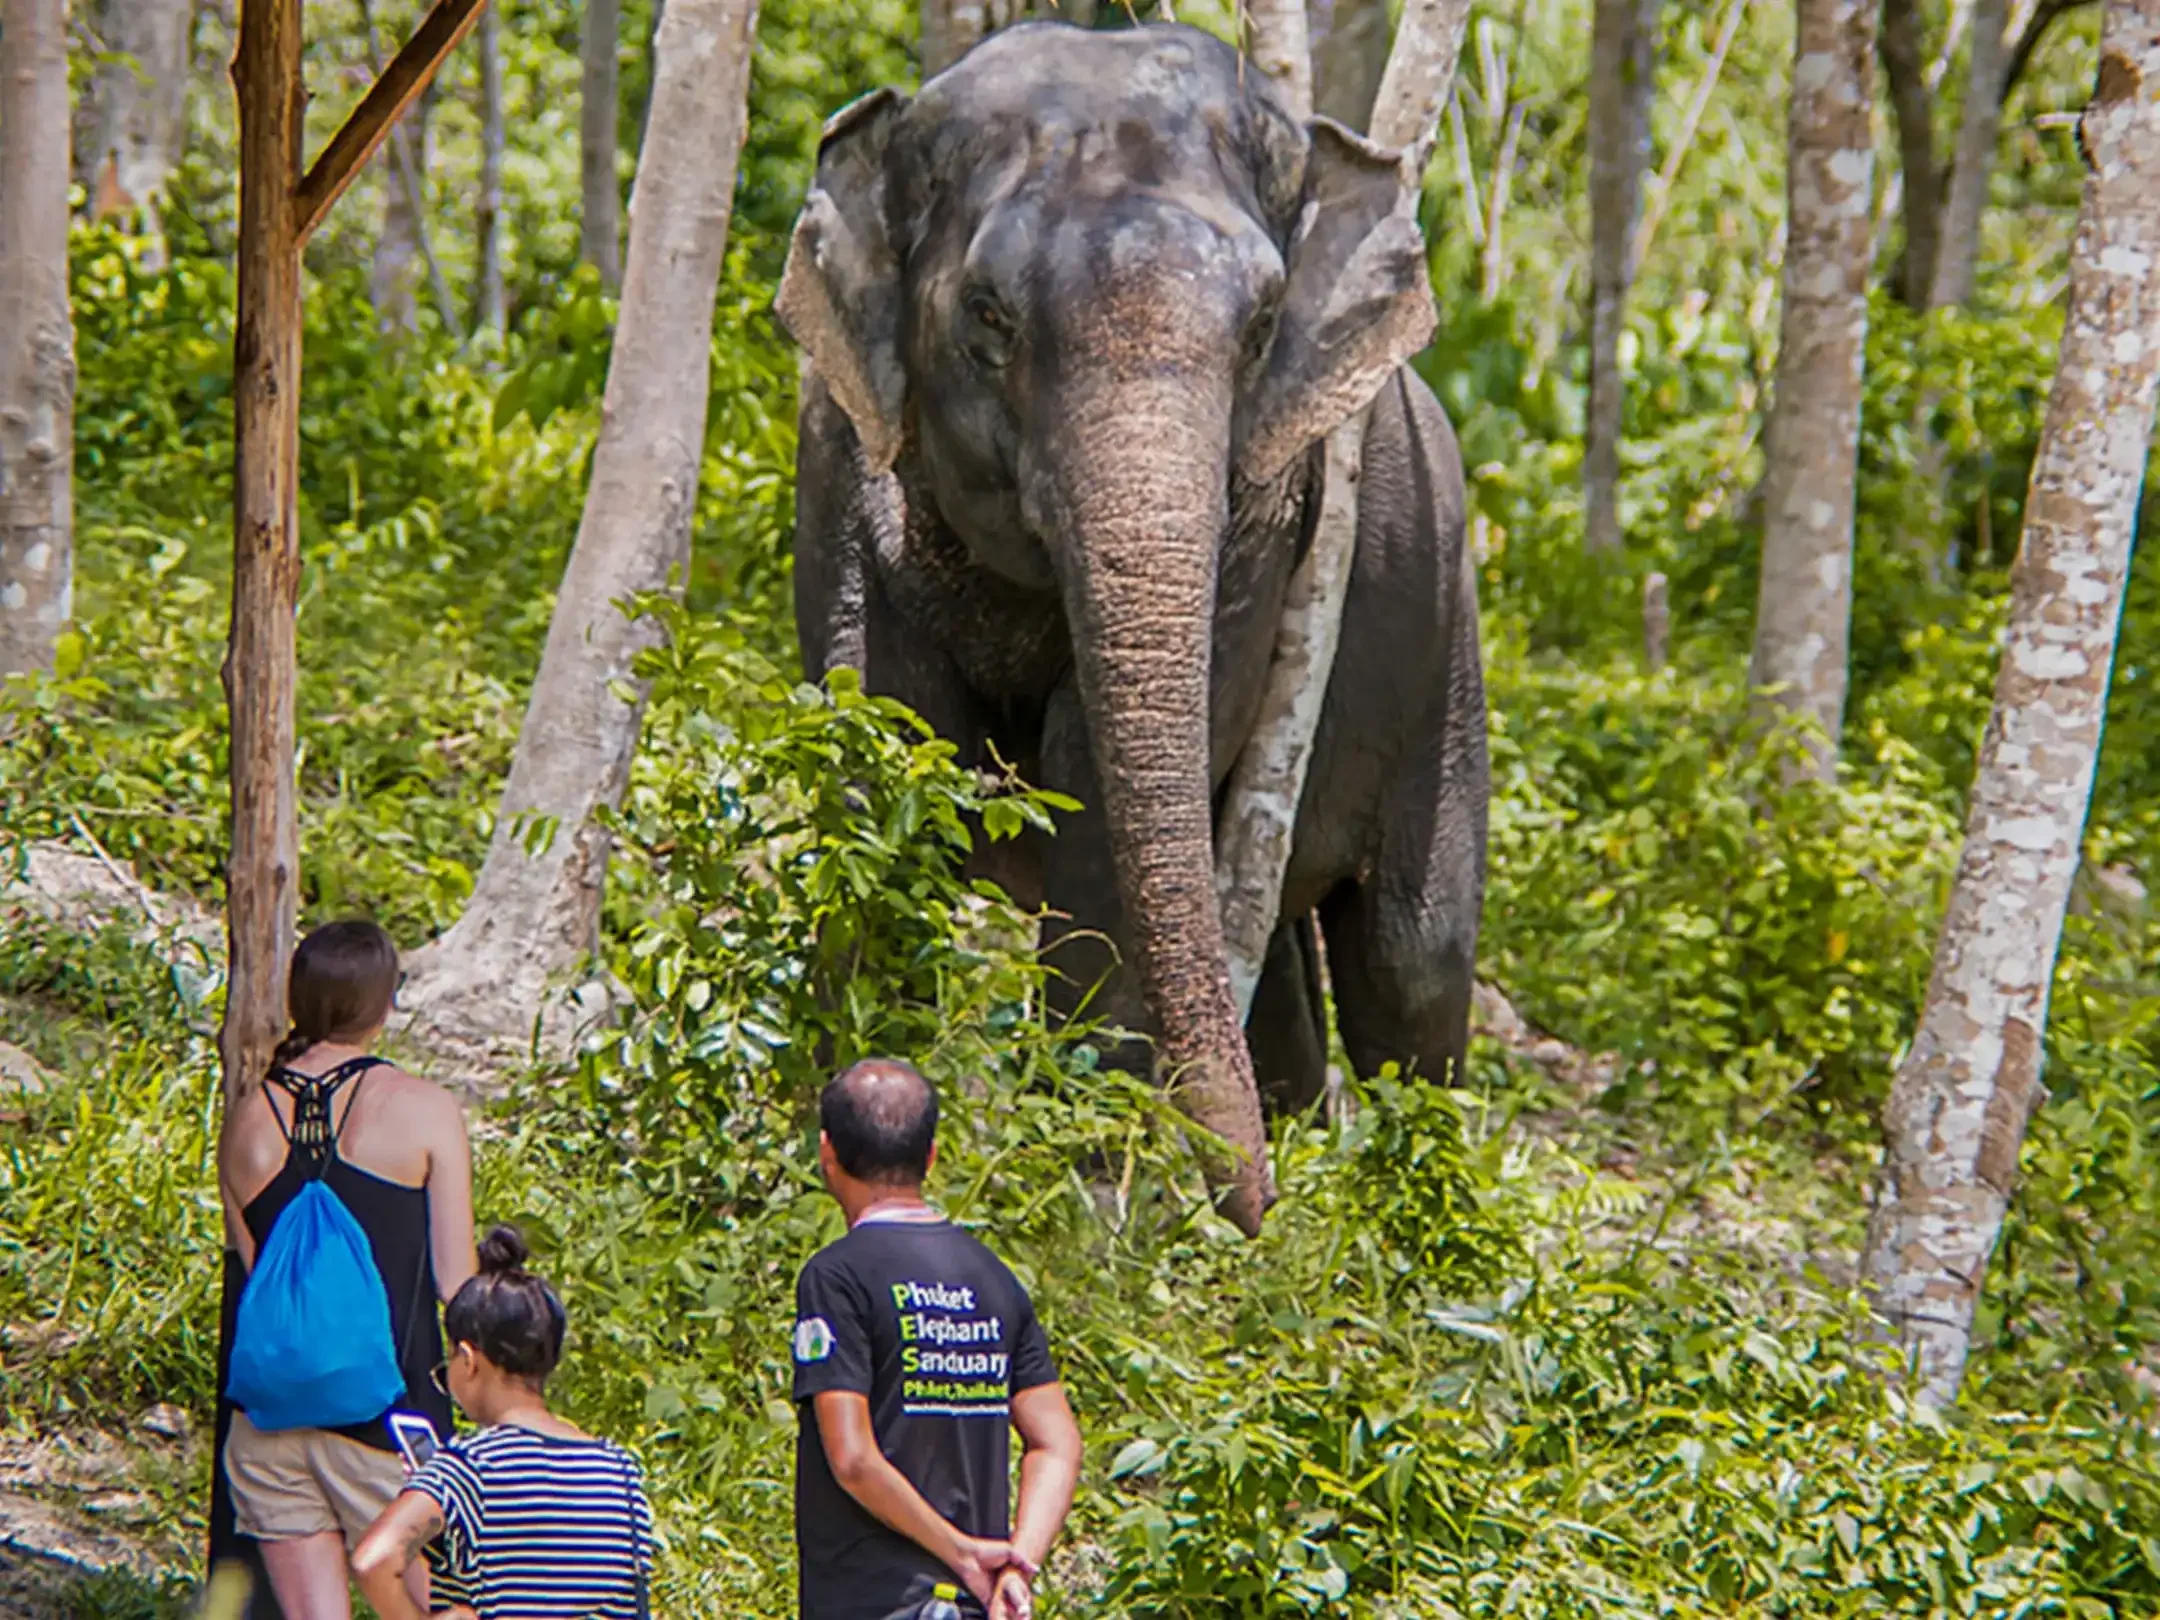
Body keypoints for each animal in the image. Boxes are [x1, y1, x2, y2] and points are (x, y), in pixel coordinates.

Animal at [776, 20, 1487, 1232]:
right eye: (988, 315)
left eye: (1262, 328)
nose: (1247, 1210)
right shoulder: (835, 452)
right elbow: (878, 755)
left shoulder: (1265, 521)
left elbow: (1096, 792)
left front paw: (1080, 1195)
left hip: (1446, 649)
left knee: (1412, 955)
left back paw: (1400, 1222)